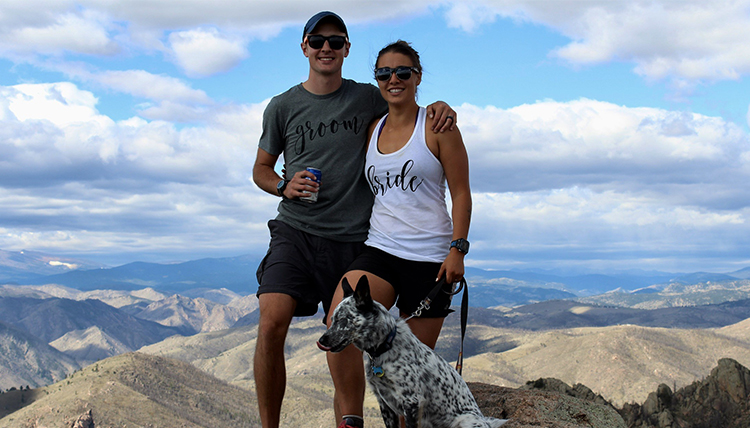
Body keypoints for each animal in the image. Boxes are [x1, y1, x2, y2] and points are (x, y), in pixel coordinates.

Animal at [314, 276, 508, 428]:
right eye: (332, 319)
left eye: (344, 319)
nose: (321, 341)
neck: (385, 346)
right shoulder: (384, 403)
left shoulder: (412, 402)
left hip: (465, 421)